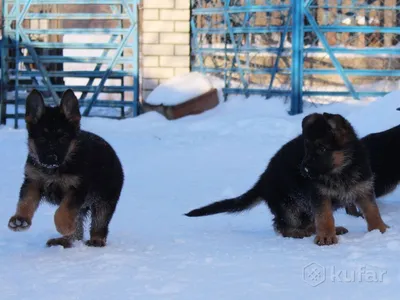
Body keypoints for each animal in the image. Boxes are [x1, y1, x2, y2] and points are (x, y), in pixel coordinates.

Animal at [7, 89, 123, 248]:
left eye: (63, 139)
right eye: (41, 139)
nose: (51, 159)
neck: (54, 170)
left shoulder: (77, 188)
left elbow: (63, 210)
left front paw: (64, 226)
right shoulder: (32, 181)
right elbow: (26, 201)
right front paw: (20, 219)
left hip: (104, 199)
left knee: (100, 220)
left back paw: (96, 239)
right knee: (78, 226)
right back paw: (66, 240)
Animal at [186, 112, 390, 246]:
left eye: (322, 148)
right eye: (306, 148)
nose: (303, 169)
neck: (341, 170)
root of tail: (263, 180)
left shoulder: (363, 189)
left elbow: (372, 210)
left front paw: (380, 229)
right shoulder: (319, 195)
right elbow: (324, 216)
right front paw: (325, 236)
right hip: (289, 205)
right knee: (281, 226)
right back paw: (304, 232)